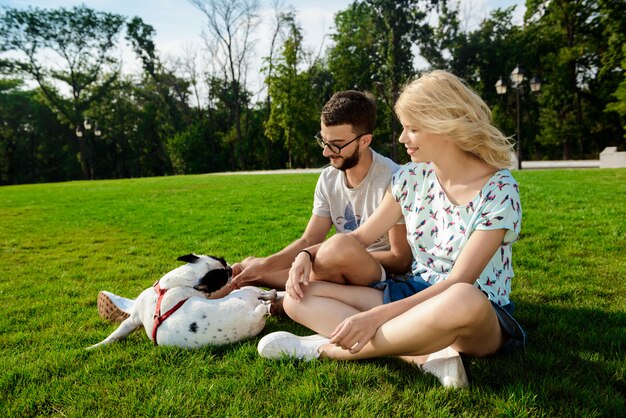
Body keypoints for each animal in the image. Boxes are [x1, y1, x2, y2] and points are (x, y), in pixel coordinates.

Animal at [86, 255, 276, 350]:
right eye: (221, 262)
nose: (230, 269)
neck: (180, 282)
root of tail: (253, 315)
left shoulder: (132, 320)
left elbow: (115, 335)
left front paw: (94, 347)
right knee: (267, 296)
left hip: (243, 292)